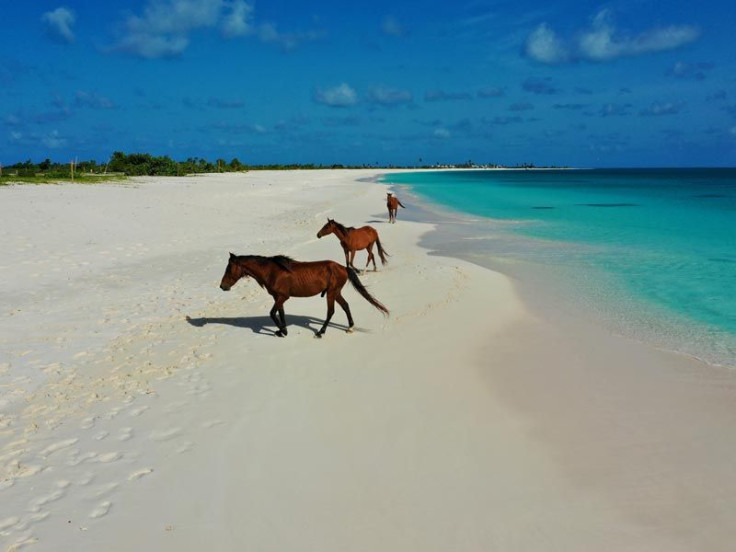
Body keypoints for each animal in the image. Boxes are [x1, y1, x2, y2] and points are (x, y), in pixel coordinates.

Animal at [220, 253, 388, 338]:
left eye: (229, 268)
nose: (222, 286)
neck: (272, 271)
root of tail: (343, 267)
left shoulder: (282, 297)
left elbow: (273, 313)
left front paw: (282, 332)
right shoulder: (277, 297)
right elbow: (280, 313)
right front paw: (282, 330)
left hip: (331, 292)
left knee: (331, 311)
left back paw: (320, 332)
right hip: (336, 292)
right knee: (345, 306)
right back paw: (350, 327)